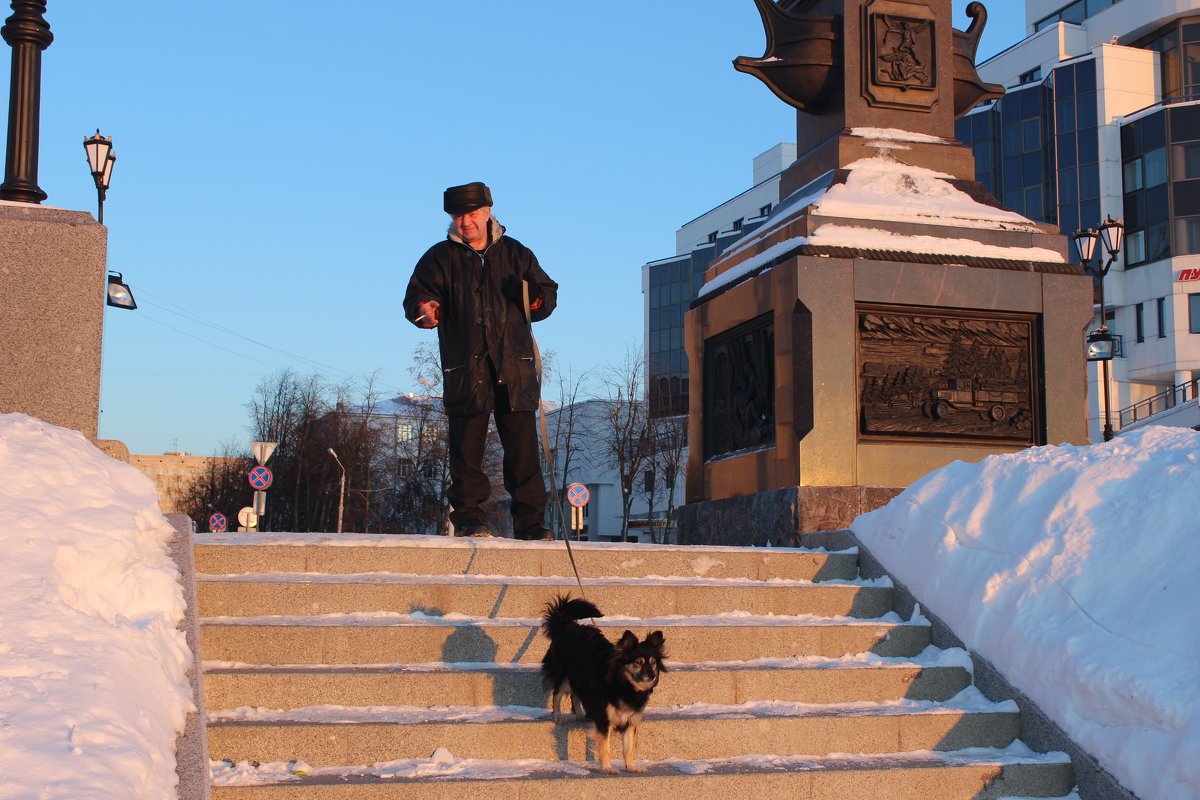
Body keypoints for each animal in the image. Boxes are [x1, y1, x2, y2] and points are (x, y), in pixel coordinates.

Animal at [542, 597, 667, 772]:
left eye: (653, 663)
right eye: (638, 662)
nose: (652, 675)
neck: (625, 686)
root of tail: (564, 623)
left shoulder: (630, 720)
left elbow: (628, 748)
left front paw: (631, 767)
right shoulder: (604, 718)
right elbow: (605, 747)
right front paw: (607, 768)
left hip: (579, 678)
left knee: (575, 694)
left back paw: (580, 714)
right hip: (563, 674)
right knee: (557, 694)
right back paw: (558, 716)